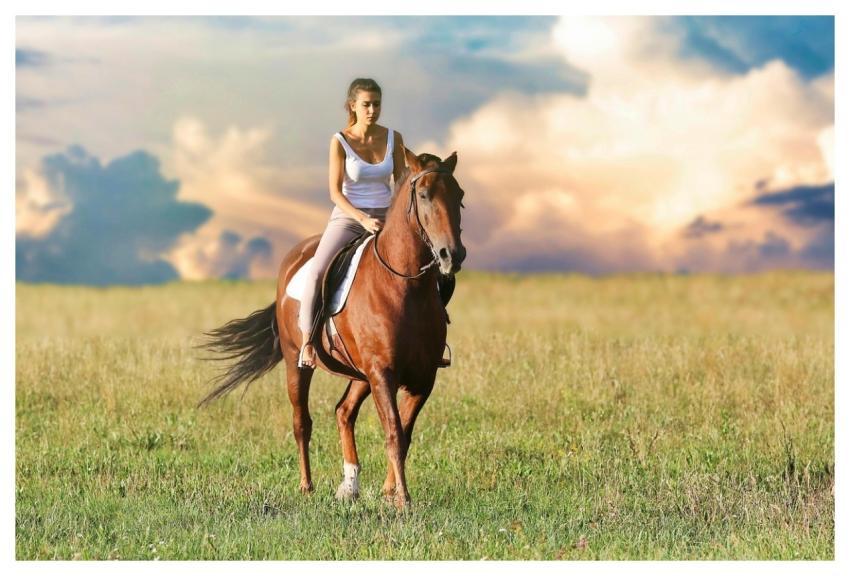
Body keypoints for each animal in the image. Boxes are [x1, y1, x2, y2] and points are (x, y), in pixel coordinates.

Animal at [198, 147, 466, 508]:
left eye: (459, 196)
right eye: (423, 195)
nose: (452, 255)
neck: (404, 286)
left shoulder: (422, 378)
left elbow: (405, 434)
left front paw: (389, 493)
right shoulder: (383, 373)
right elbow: (394, 432)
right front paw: (403, 499)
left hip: (360, 374)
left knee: (343, 412)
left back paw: (349, 486)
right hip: (298, 363)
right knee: (302, 422)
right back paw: (307, 485)